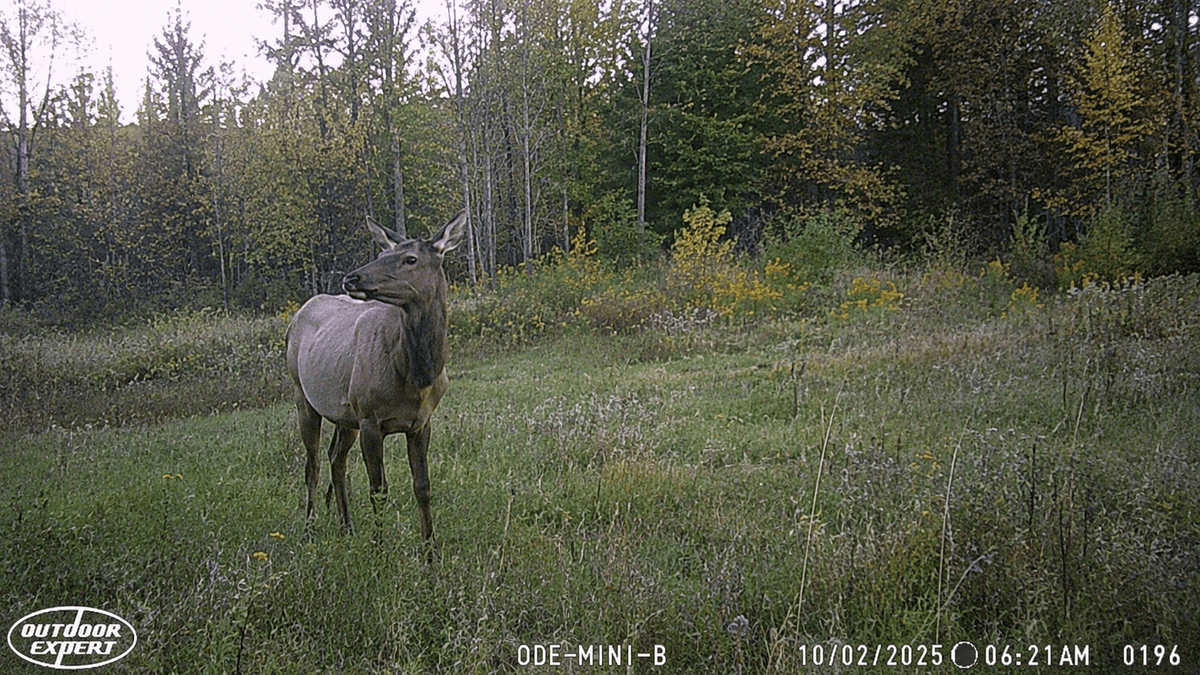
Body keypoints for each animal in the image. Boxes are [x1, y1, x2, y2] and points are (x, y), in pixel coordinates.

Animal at [286, 213, 466, 556]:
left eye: (410, 259)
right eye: (384, 253)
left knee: (336, 458)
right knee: (312, 465)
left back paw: (346, 526)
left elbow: (423, 486)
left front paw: (431, 551)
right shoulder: (370, 418)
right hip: (303, 396)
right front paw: (378, 548)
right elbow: (378, 489)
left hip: (345, 412)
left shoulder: (421, 422)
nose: (352, 278)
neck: (417, 376)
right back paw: (309, 529)